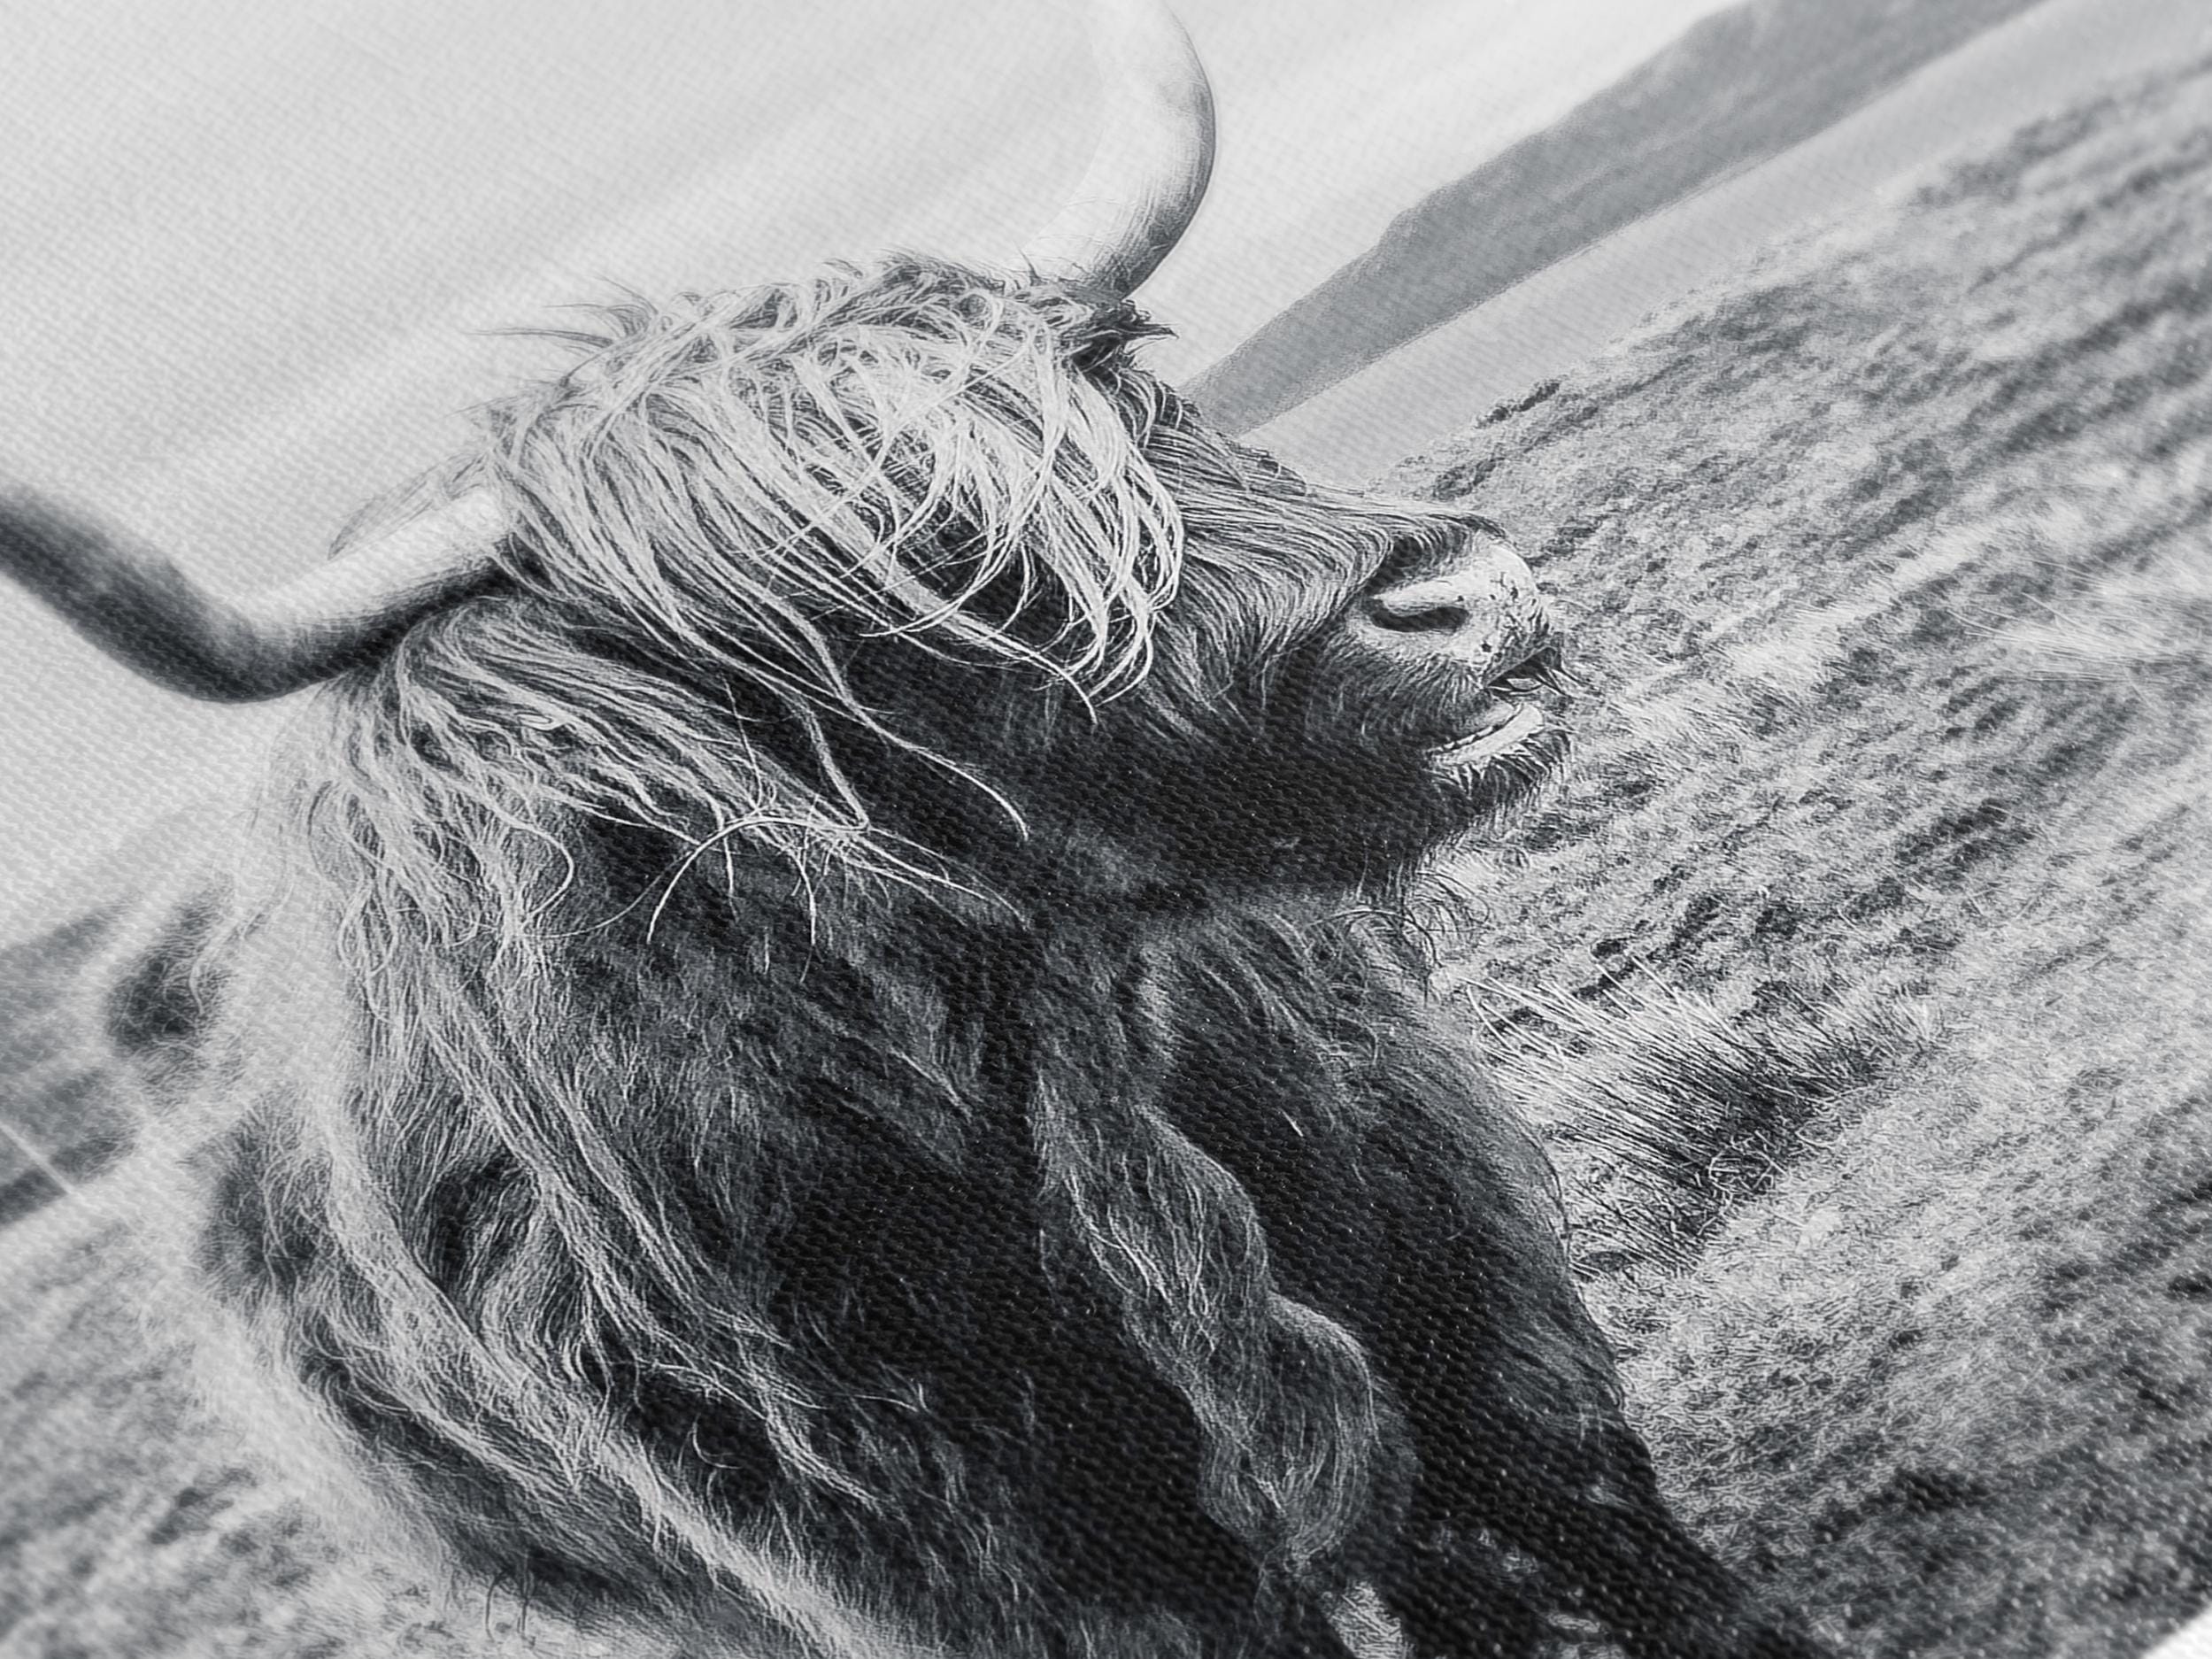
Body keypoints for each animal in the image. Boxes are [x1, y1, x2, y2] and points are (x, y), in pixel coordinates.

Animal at [0, 4, 1825, 1656]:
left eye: (1124, 389)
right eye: (878, 623)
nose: (1454, 604)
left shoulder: (1442, 1216)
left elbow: (1564, 1476)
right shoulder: (1008, 1558)